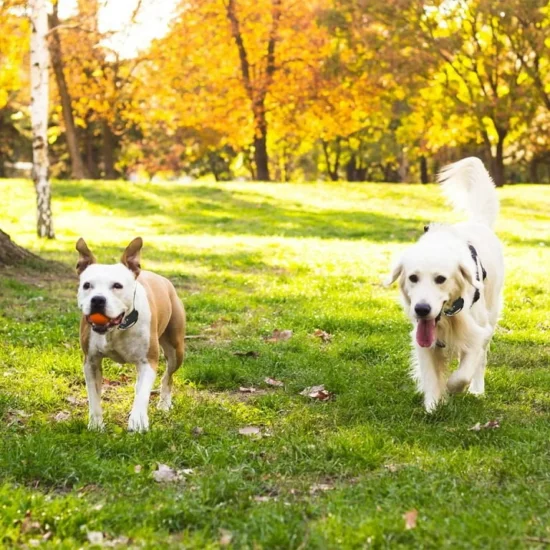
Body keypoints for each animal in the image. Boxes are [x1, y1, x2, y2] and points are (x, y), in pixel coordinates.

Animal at [388, 157, 504, 412]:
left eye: (440, 279)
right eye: (413, 278)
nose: (422, 309)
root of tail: (478, 223)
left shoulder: (477, 331)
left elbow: (463, 373)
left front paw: (453, 388)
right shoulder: (423, 338)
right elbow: (431, 375)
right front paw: (433, 405)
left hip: (491, 316)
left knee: (481, 361)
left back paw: (477, 391)